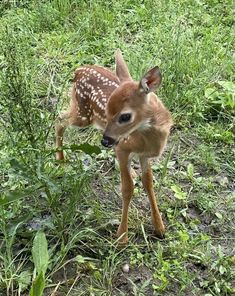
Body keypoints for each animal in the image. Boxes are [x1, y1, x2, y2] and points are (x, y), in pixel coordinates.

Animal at [55, 49, 173, 243]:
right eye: (107, 110)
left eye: (125, 116)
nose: (105, 141)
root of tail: (78, 70)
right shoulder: (122, 148)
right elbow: (127, 189)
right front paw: (122, 237)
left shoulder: (144, 155)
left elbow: (148, 183)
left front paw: (160, 228)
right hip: (83, 113)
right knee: (59, 120)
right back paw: (60, 160)